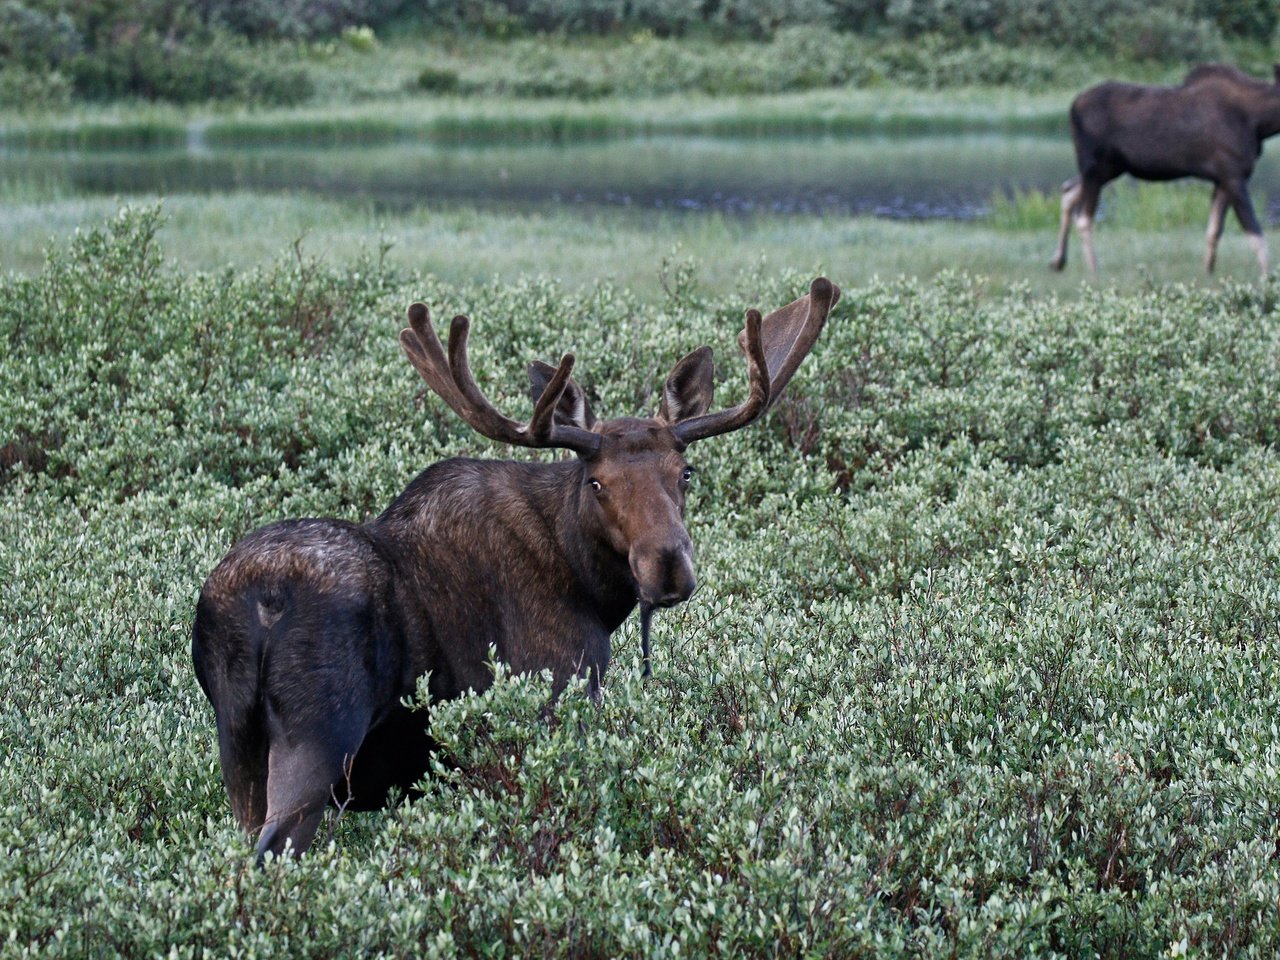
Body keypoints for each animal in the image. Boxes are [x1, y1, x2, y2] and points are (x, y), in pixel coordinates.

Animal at [189, 276, 839, 865]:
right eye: (597, 482)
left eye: (685, 472)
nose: (669, 568)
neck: (592, 588)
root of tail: (254, 608)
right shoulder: (561, 686)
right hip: (319, 737)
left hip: (238, 748)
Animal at [1049, 63, 1280, 276]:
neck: (1260, 123)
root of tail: (1072, 108)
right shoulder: (1233, 174)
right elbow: (1254, 230)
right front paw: (1267, 276)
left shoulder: (1222, 178)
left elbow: (1214, 230)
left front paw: (1208, 272)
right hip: (1095, 166)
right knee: (1083, 217)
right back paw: (1094, 270)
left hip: (1110, 168)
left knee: (1068, 190)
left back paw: (1058, 261)